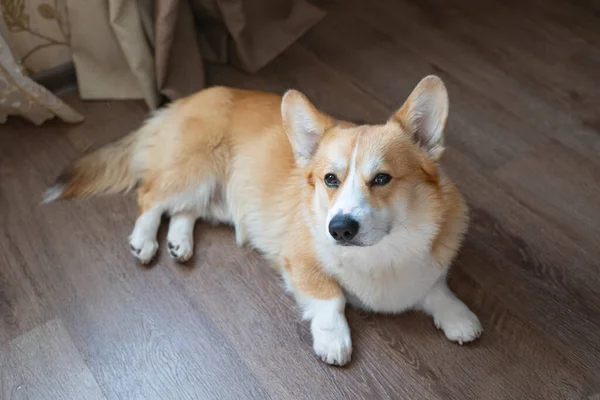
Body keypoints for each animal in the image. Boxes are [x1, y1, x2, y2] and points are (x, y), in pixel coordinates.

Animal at [43, 75, 482, 366]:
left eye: (382, 179)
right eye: (330, 180)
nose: (339, 229)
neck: (383, 252)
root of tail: (186, 99)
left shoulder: (426, 264)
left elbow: (435, 287)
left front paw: (459, 316)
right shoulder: (299, 261)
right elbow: (331, 297)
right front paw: (333, 341)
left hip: (213, 195)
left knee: (185, 211)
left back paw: (179, 243)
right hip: (193, 172)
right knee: (151, 196)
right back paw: (145, 241)